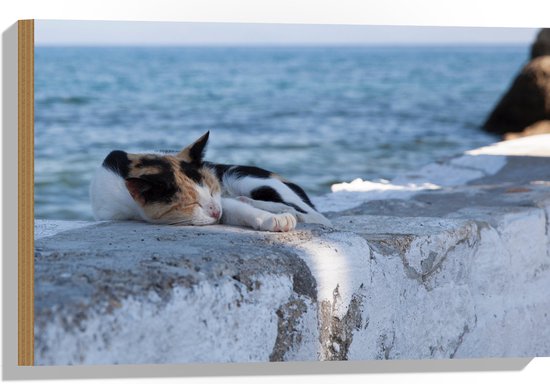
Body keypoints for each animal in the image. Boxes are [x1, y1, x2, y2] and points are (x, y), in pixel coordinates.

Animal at [90, 132, 332, 231]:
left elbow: (233, 207)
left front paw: (275, 219)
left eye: (213, 190)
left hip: (242, 176)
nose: (216, 211)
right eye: (191, 203)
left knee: (314, 215)